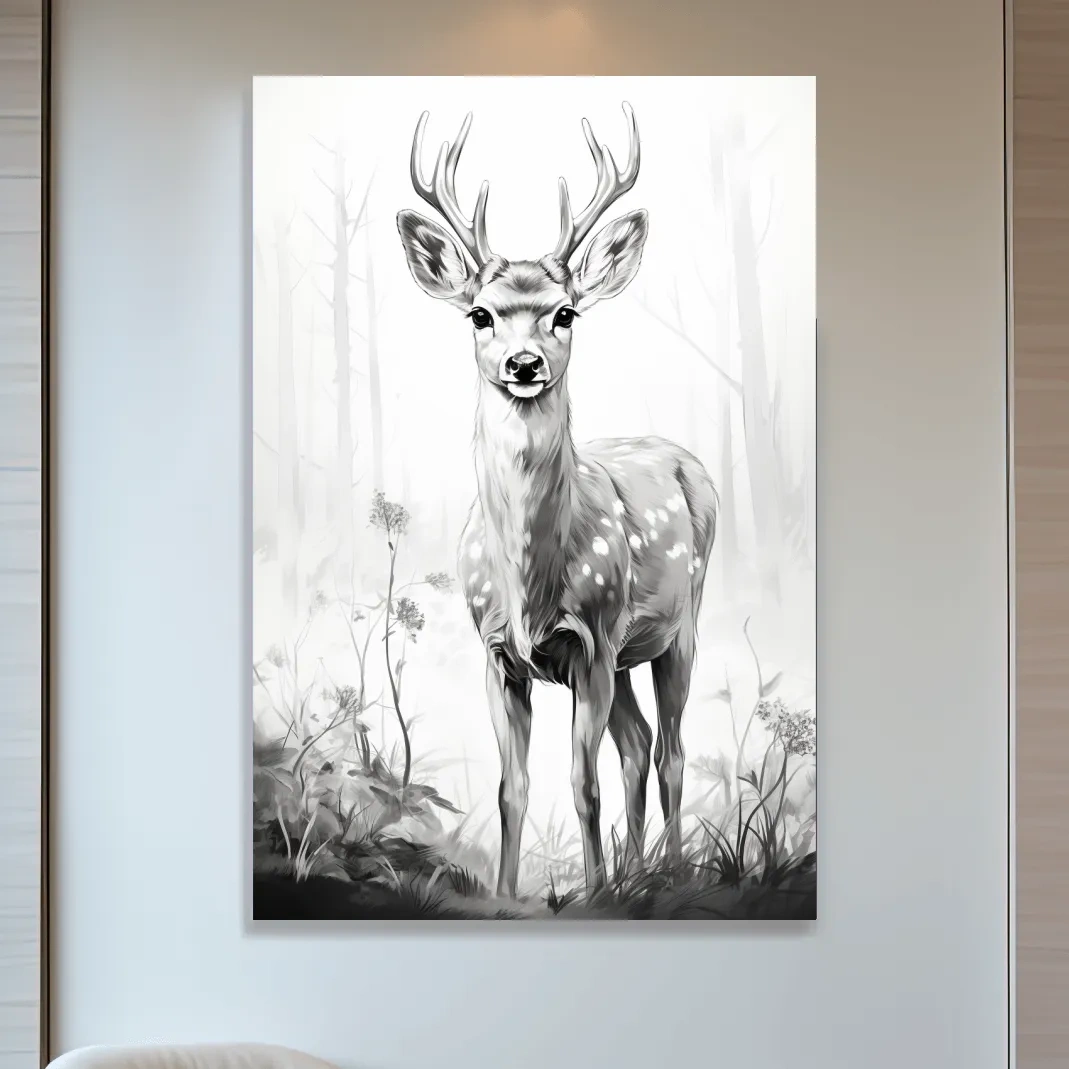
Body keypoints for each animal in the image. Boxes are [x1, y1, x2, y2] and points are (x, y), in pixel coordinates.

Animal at [396, 102, 718, 898]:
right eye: (479, 314)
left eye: (566, 313)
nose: (523, 363)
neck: (529, 588)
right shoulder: (498, 654)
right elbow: (511, 789)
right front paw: (508, 896)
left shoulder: (592, 640)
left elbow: (582, 782)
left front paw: (595, 894)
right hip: (629, 653)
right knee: (637, 742)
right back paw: (637, 872)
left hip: (680, 624)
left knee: (668, 748)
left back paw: (663, 874)